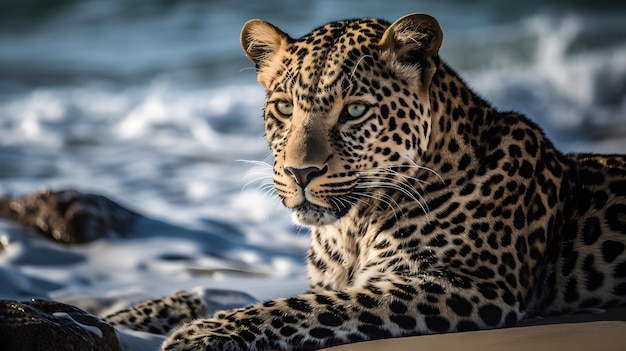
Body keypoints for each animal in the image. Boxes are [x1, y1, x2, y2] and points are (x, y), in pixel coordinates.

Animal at [103, 12, 624, 350]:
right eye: (284, 107)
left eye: (354, 110)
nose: (300, 172)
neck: (350, 227)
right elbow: (225, 292)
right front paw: (121, 316)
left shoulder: (465, 282)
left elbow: (304, 306)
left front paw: (203, 333)